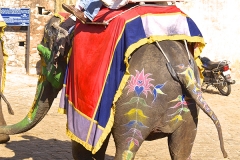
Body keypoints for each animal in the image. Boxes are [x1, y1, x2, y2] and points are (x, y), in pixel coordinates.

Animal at [0, 4, 228, 159]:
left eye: (41, 53)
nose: (5, 137)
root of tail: (181, 69)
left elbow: (81, 144)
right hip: (189, 110)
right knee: (181, 149)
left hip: (135, 103)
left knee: (127, 147)